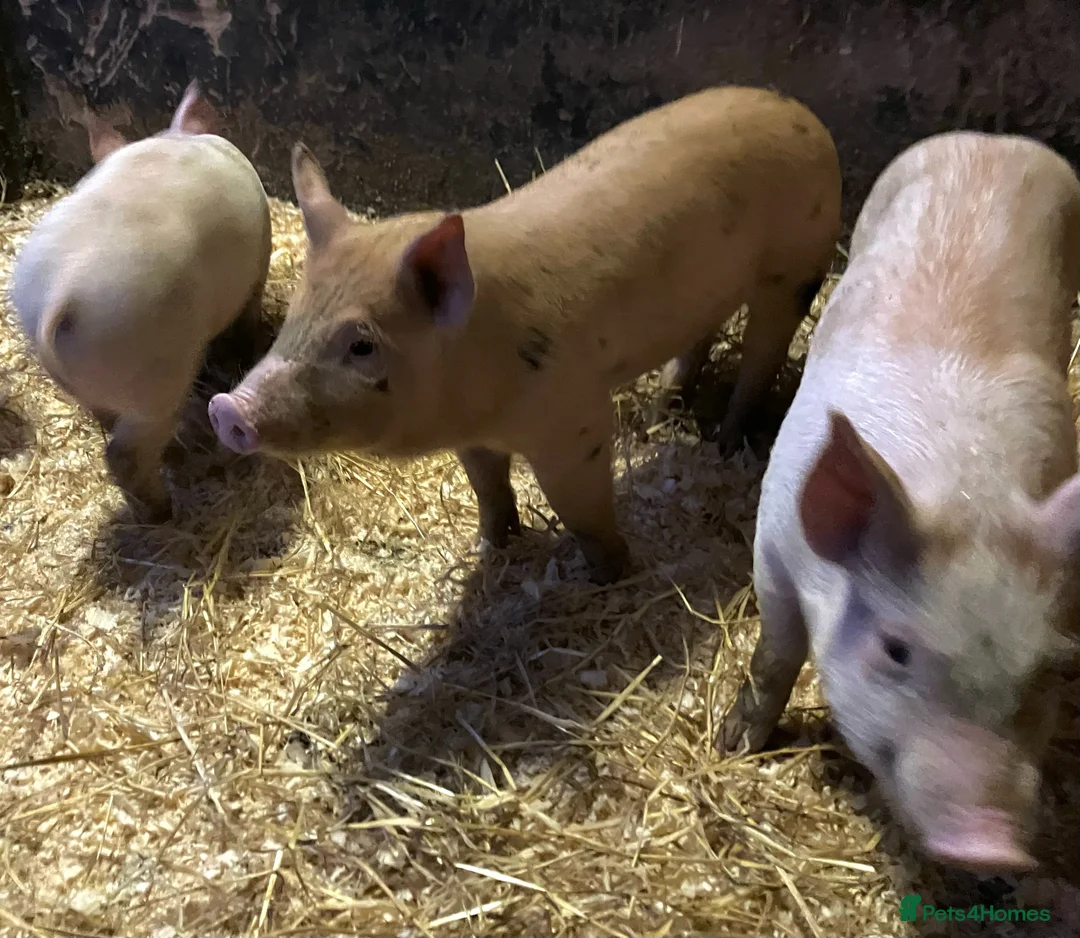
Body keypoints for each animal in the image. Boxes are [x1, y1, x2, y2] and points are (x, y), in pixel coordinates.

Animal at [10, 80, 272, 520]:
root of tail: (60, 294)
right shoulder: (260, 264)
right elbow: (249, 318)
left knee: (103, 417)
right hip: (152, 368)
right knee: (126, 454)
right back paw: (164, 512)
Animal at [208, 86, 841, 583]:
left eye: (362, 344)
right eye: (295, 315)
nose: (227, 407)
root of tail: (805, 114)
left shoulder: (573, 417)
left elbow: (578, 503)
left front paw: (613, 574)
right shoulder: (472, 435)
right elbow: (488, 484)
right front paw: (492, 545)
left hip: (797, 265)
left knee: (764, 351)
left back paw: (727, 441)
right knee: (700, 337)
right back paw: (667, 409)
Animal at [718, 130, 1080, 873]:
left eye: (1052, 671)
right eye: (896, 649)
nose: (993, 846)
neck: (964, 488)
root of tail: (991, 139)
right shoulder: (772, 538)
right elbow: (775, 653)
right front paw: (736, 744)